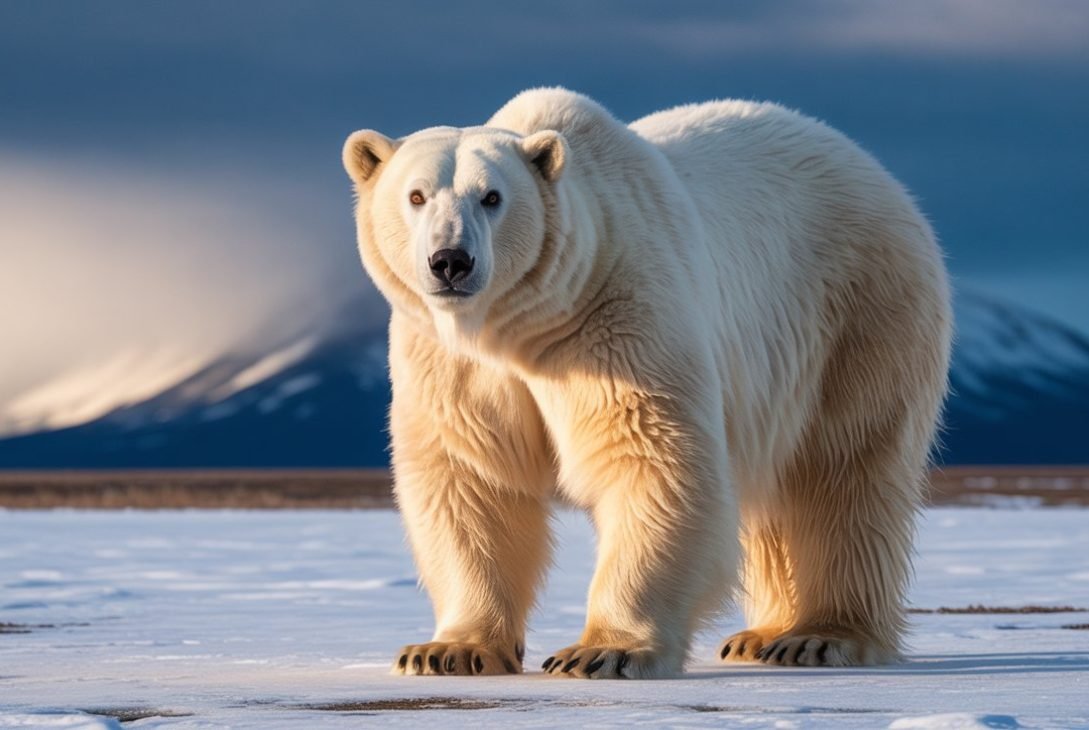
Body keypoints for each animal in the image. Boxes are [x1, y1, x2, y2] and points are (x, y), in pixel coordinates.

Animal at [341, 88, 951, 679]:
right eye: (417, 196)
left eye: (492, 197)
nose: (451, 261)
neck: (519, 326)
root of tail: (875, 171)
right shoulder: (454, 365)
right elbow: (470, 481)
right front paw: (446, 651)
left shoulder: (617, 315)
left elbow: (651, 460)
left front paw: (602, 651)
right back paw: (761, 636)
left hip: (858, 312)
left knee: (843, 469)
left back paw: (818, 636)